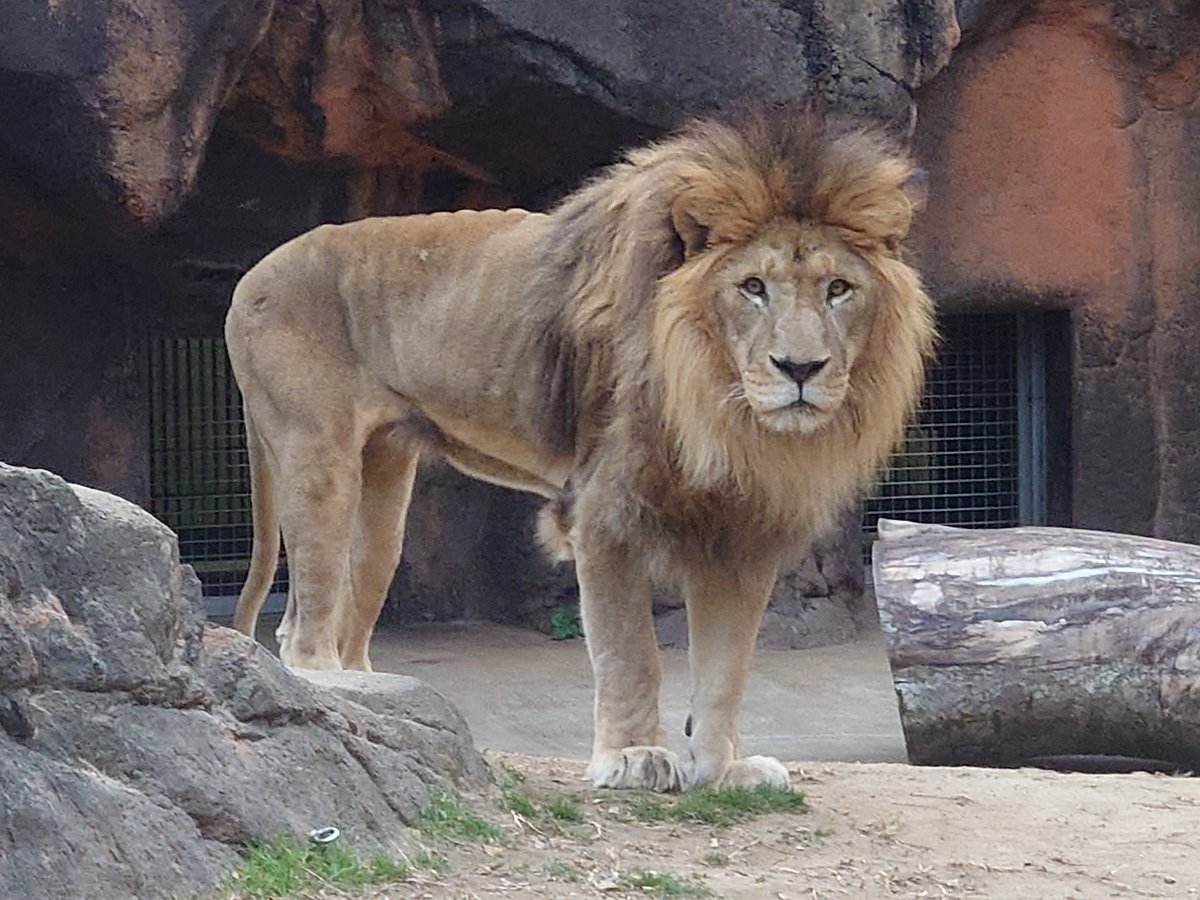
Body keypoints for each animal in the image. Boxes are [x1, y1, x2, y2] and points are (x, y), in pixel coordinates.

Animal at [226, 112, 935, 792]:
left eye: (838, 289)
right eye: (753, 287)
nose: (801, 368)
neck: (722, 411)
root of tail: (247, 278)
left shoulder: (743, 530)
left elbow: (728, 666)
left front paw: (724, 769)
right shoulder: (607, 513)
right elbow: (631, 652)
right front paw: (634, 756)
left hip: (382, 491)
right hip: (318, 457)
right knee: (305, 625)